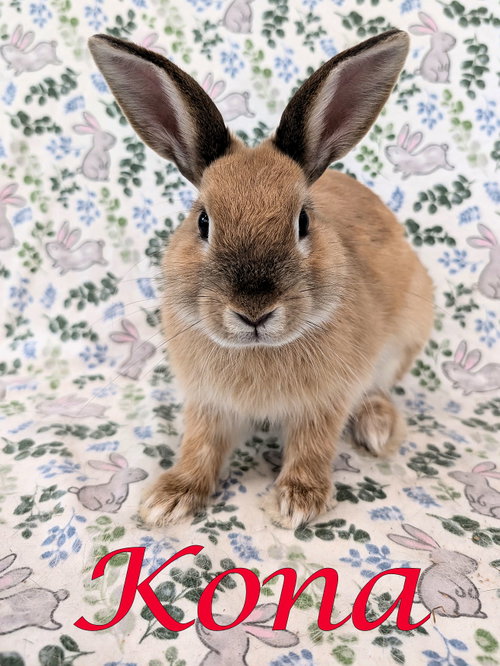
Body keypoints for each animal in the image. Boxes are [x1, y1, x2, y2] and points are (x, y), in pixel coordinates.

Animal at [89, 29, 434, 529]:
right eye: (203, 222)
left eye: (303, 221)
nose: (254, 311)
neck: (258, 351)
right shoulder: (207, 403)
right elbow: (199, 445)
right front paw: (169, 499)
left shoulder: (326, 401)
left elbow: (313, 445)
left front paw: (298, 501)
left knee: (379, 390)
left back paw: (376, 428)